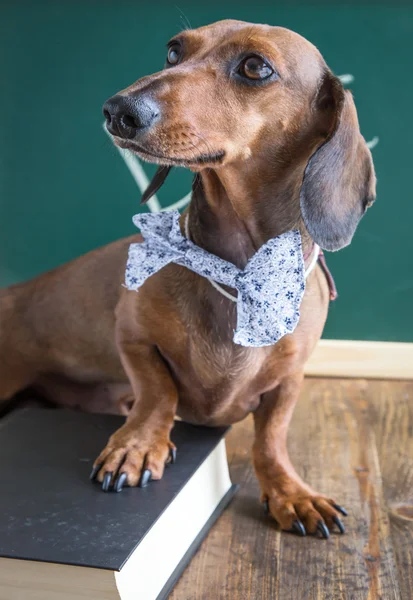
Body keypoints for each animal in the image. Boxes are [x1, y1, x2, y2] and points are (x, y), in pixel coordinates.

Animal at [0, 21, 374, 540]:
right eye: (174, 51)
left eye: (255, 66)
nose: (117, 111)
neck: (240, 272)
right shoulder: (131, 335)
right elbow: (158, 392)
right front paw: (138, 446)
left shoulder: (291, 378)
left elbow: (271, 437)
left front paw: (291, 492)